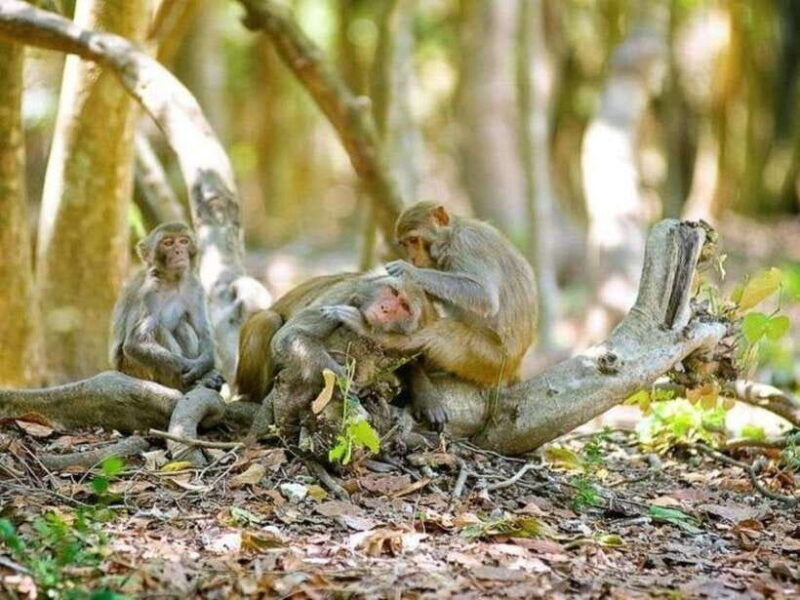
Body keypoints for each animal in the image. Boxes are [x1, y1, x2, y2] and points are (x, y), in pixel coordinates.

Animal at [110, 222, 223, 392]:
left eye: (184, 241)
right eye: (168, 243)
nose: (178, 251)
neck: (172, 282)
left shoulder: (194, 287)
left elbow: (203, 332)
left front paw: (202, 366)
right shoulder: (148, 291)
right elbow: (135, 342)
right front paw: (192, 368)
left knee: (182, 325)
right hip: (136, 370)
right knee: (157, 328)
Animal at [325, 201, 537, 428]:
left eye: (414, 240)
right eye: (406, 243)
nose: (413, 258)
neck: (452, 235)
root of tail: (514, 366)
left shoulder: (467, 244)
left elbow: (484, 296)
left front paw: (408, 271)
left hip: (487, 358)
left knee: (443, 331)